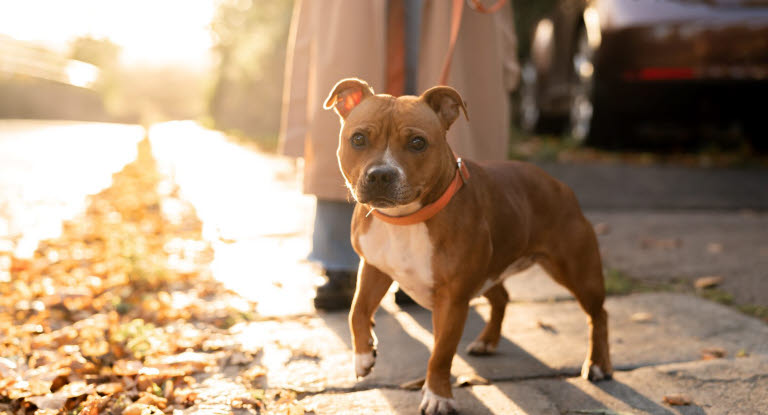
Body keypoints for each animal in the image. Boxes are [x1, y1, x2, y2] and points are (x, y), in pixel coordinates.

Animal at [324, 79, 612, 415]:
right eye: (358, 139)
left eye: (418, 143)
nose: (381, 174)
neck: (405, 220)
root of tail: (559, 185)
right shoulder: (374, 267)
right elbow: (356, 310)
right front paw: (363, 356)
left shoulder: (453, 300)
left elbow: (440, 354)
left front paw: (438, 396)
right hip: (490, 271)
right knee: (502, 297)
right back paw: (487, 342)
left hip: (577, 272)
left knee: (599, 315)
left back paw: (598, 364)